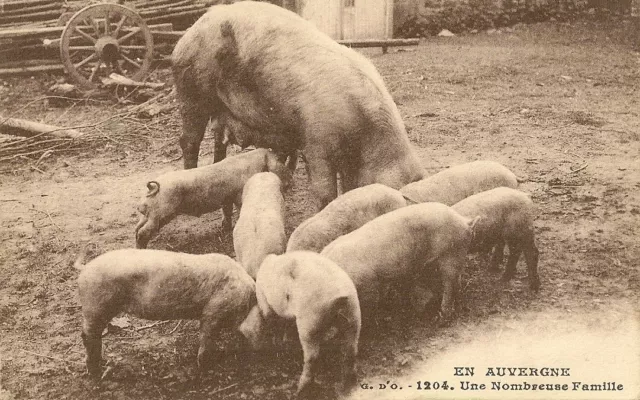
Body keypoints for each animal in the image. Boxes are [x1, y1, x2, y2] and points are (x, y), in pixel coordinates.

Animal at [75, 248, 255, 376]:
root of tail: (85, 268)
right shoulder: (213, 312)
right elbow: (207, 336)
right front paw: (205, 364)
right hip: (96, 307)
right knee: (87, 336)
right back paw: (95, 371)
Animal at [138, 148, 292, 247]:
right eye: (280, 162)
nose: (290, 182)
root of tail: (152, 188)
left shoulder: (227, 198)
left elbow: (227, 211)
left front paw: (225, 228)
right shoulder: (238, 195)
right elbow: (238, 208)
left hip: (149, 213)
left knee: (137, 228)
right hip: (161, 213)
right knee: (142, 232)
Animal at [172, 0, 424, 209]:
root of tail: (187, 34)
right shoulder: (316, 142)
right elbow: (324, 190)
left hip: (219, 109)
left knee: (218, 142)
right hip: (191, 92)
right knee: (189, 141)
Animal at [239, 252, 362, 398]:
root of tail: (340, 296)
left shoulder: (266, 303)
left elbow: (274, 324)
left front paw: (277, 345)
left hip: (309, 323)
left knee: (312, 357)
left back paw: (300, 391)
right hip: (354, 315)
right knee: (351, 349)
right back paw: (349, 387)